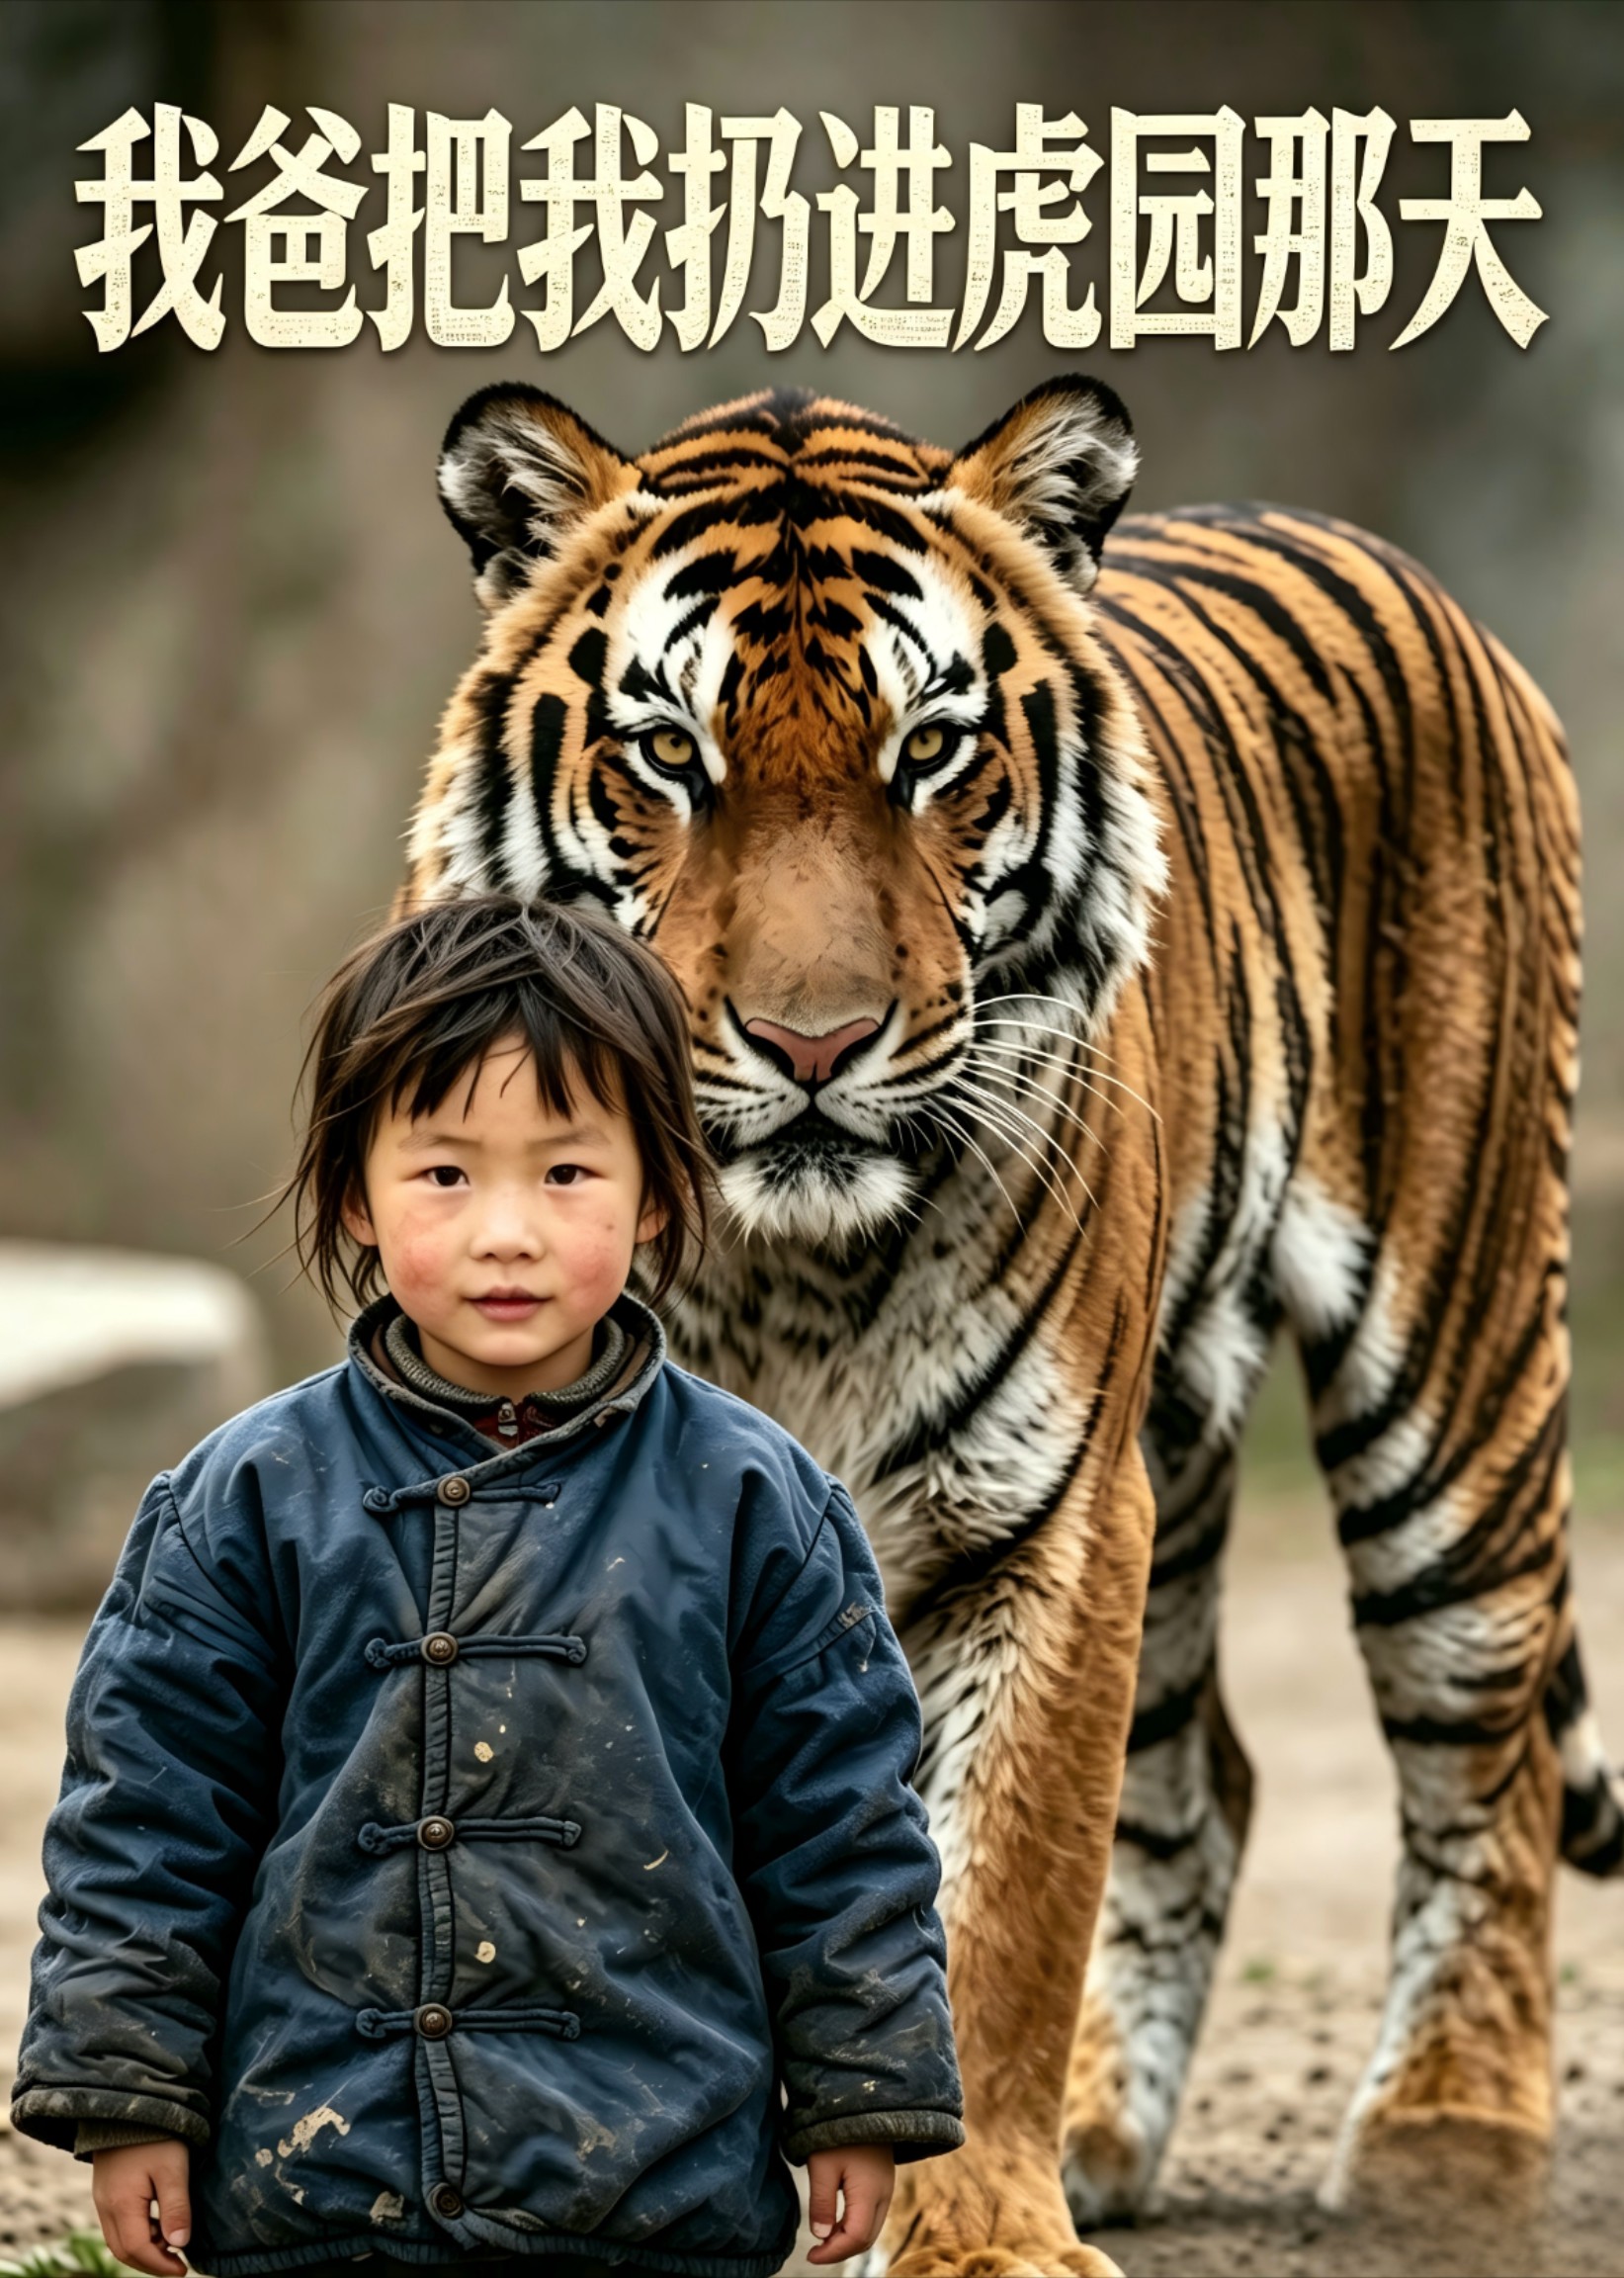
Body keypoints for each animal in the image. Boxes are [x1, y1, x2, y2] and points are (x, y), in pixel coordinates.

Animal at [397, 373, 1620, 2277]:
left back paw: (1445, 2139)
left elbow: (999, 1903)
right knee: (1205, 1788)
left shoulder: (1042, 1524)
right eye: (671, 753)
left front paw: (976, 2236)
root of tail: (1388, 565)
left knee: (1473, 1750)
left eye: (927, 752)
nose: (812, 1041)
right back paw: (1114, 2125)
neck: (779, 1263)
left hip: (1450, 1361)